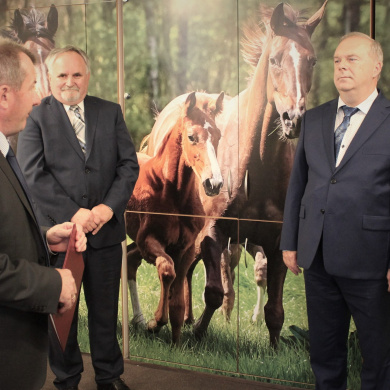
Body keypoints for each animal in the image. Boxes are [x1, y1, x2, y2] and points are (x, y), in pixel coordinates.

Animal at [125, 92, 222, 344]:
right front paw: (156, 323)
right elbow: (167, 270)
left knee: (129, 259)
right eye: (191, 137)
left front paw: (176, 340)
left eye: (218, 135)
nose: (214, 183)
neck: (173, 192)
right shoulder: (149, 241)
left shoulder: (186, 248)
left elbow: (178, 296)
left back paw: (137, 320)